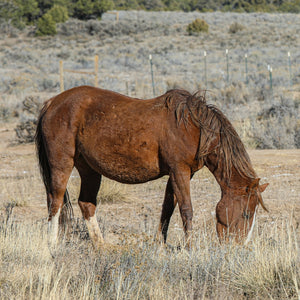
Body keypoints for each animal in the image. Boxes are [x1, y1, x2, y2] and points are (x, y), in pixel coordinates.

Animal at [34, 86, 268, 248]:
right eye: (246, 214)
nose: (239, 246)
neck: (194, 127)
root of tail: (52, 102)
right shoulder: (179, 171)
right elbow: (186, 210)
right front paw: (190, 248)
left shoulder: (179, 174)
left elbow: (168, 209)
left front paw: (161, 245)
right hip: (62, 164)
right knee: (55, 202)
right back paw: (52, 244)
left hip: (89, 170)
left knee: (86, 203)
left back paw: (101, 246)